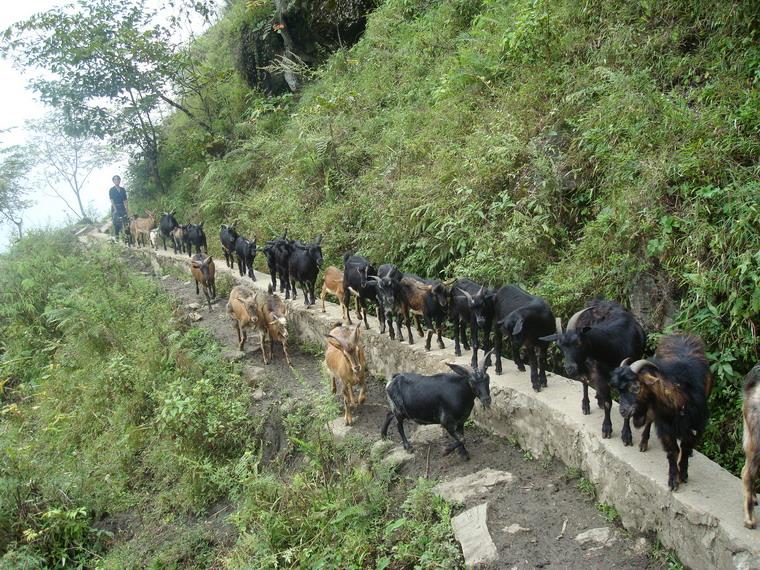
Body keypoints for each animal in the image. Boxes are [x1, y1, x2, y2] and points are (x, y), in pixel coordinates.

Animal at [540, 298, 648, 444]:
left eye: (578, 343)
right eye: (559, 346)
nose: (569, 368)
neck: (613, 347)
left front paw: (626, 435)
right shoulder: (599, 373)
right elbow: (608, 402)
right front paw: (607, 428)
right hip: (585, 364)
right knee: (584, 381)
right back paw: (586, 405)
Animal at [612, 332, 712, 488]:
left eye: (636, 387)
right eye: (619, 390)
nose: (623, 411)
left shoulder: (697, 425)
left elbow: (685, 447)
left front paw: (683, 474)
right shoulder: (665, 426)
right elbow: (673, 451)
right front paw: (673, 479)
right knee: (649, 422)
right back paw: (643, 443)